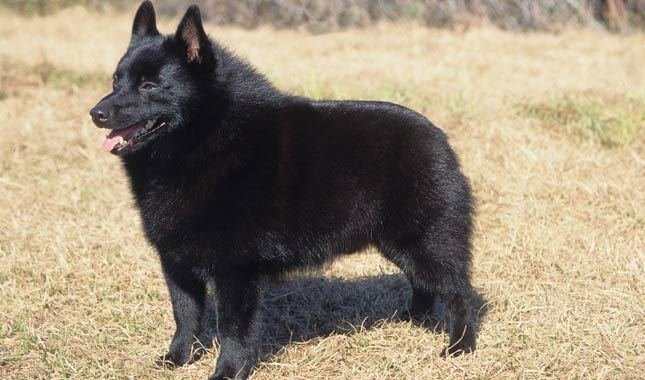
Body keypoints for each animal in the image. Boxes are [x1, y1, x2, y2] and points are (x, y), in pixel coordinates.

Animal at [89, 1, 472, 378]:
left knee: (459, 292)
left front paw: (227, 372)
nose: (96, 113)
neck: (206, 137)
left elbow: (232, 330)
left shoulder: (235, 270)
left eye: (149, 86)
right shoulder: (176, 263)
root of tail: (438, 137)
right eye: (116, 80)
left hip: (426, 242)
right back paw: (411, 321)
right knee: (423, 285)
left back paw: (459, 348)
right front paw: (177, 359)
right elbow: (185, 316)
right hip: (398, 243)